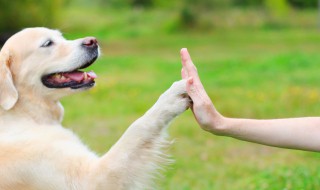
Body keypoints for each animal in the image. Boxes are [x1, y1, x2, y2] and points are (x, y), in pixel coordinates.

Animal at [0, 27, 190, 189]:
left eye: (61, 37)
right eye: (47, 43)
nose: (93, 41)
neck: (26, 114)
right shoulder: (90, 179)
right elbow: (137, 128)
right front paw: (172, 96)